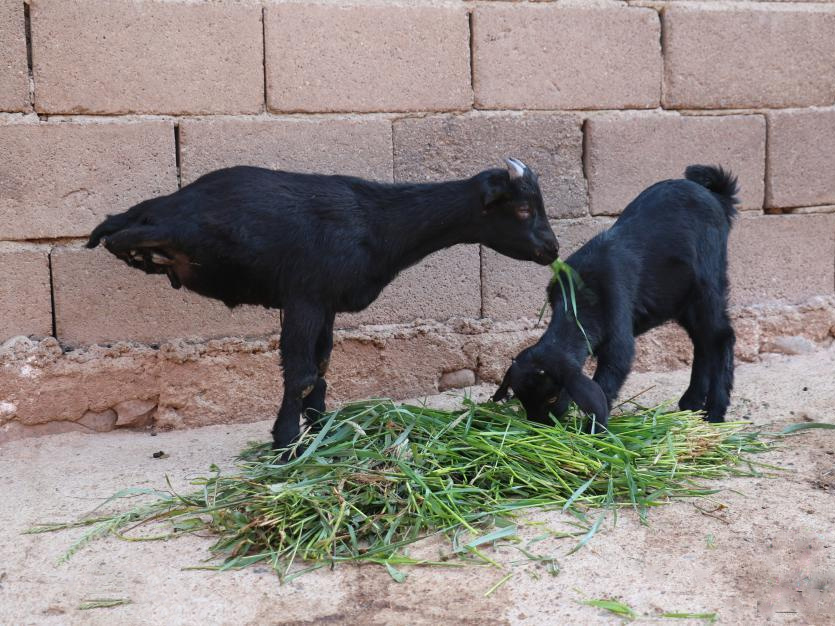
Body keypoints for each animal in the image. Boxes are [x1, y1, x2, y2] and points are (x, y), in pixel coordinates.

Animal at [86, 158, 560, 450]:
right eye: (522, 209)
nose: (552, 249)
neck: (380, 221)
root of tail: (169, 202)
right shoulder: (304, 297)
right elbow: (299, 374)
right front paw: (285, 445)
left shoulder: (328, 303)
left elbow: (323, 367)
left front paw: (318, 430)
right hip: (189, 227)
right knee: (119, 233)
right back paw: (139, 250)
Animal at [494, 163, 740, 432]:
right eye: (521, 398)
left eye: (552, 397)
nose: (541, 426)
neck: (577, 305)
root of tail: (717, 197)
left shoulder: (618, 334)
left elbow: (607, 382)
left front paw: (594, 431)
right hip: (681, 300)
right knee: (702, 341)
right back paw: (692, 403)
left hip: (708, 283)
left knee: (721, 337)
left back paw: (715, 411)